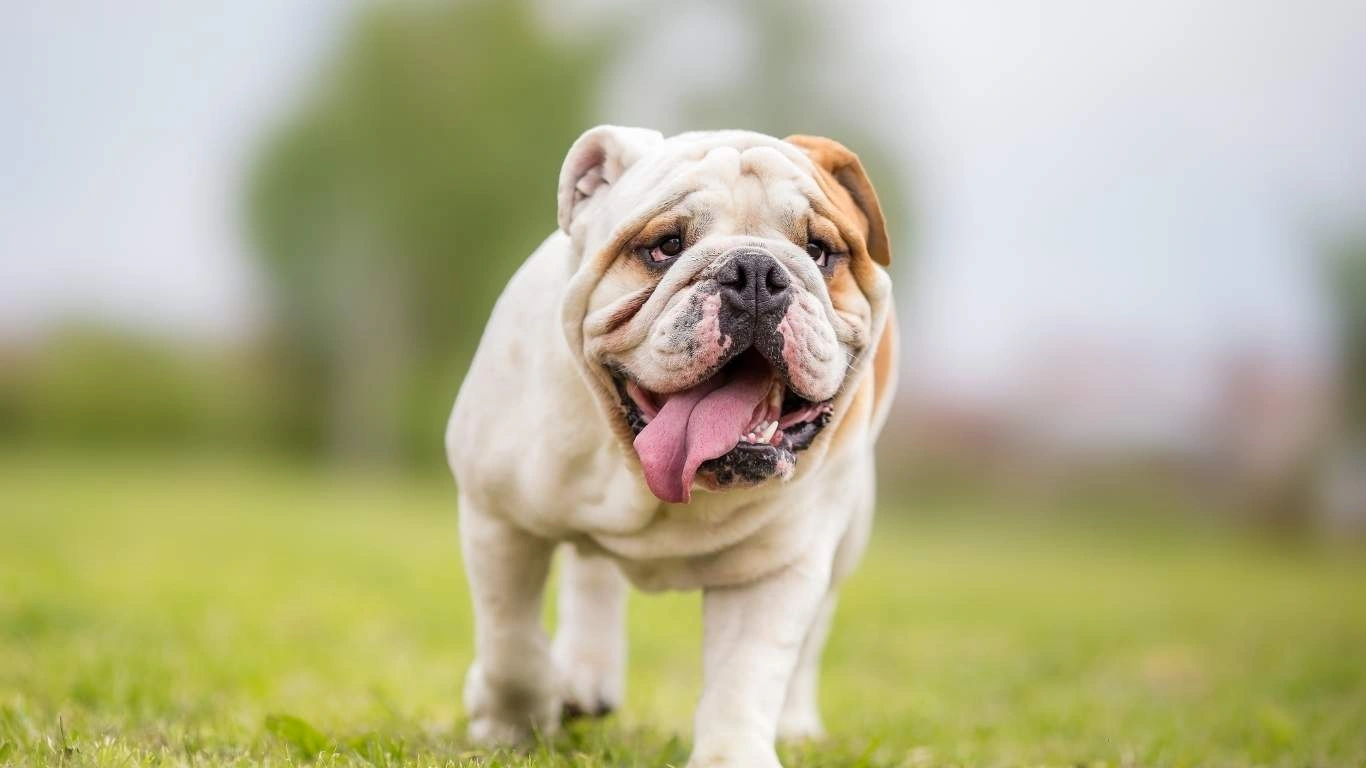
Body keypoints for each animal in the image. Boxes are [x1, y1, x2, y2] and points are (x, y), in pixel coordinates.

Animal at [445, 122, 896, 759]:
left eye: (818, 252)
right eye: (665, 246)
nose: (755, 273)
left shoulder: (776, 568)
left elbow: (745, 681)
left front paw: (735, 756)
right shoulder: (499, 517)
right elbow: (512, 640)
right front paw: (508, 726)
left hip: (845, 537)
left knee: (813, 634)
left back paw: (796, 723)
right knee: (590, 572)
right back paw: (583, 675)